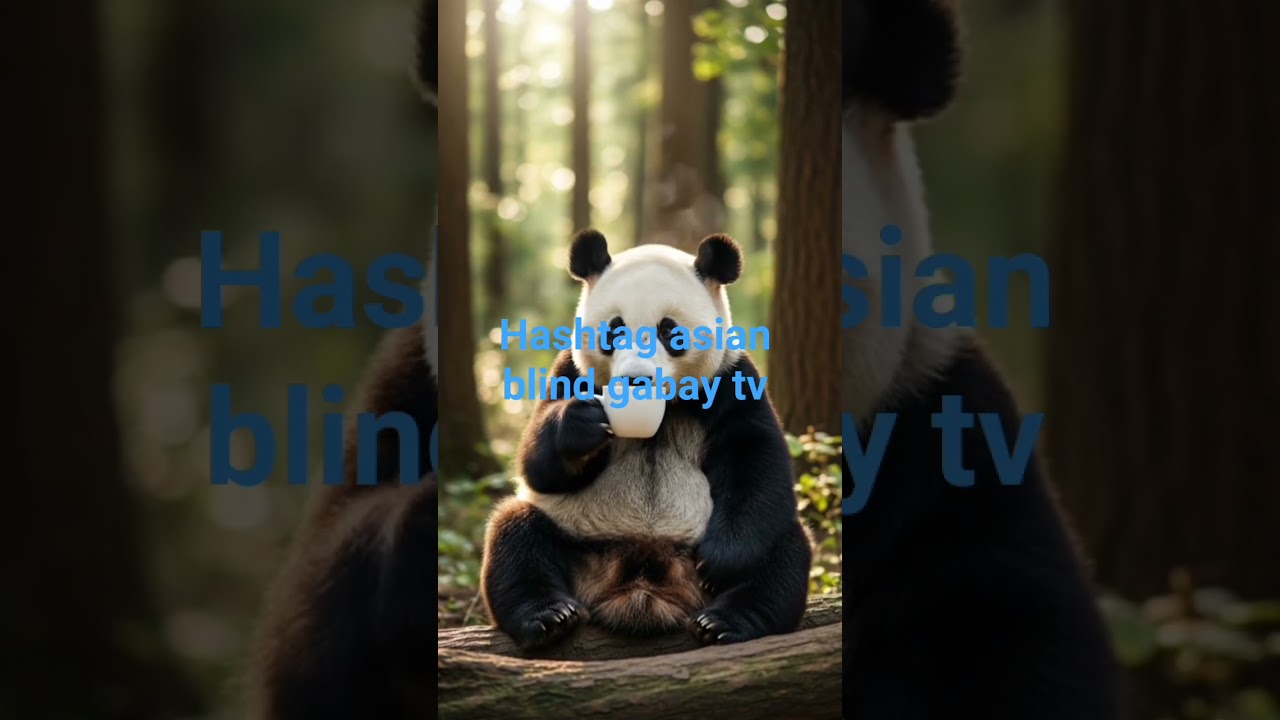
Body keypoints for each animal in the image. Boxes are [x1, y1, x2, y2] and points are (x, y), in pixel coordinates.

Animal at [480, 230, 814, 650]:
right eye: (615, 330)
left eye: (668, 331)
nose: (636, 379)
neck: (664, 408)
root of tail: (642, 589)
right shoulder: (570, 372)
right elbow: (537, 464)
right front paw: (582, 424)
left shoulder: (732, 379)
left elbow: (755, 460)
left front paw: (720, 559)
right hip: (577, 536)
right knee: (515, 535)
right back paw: (549, 616)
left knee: (783, 555)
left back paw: (724, 622)